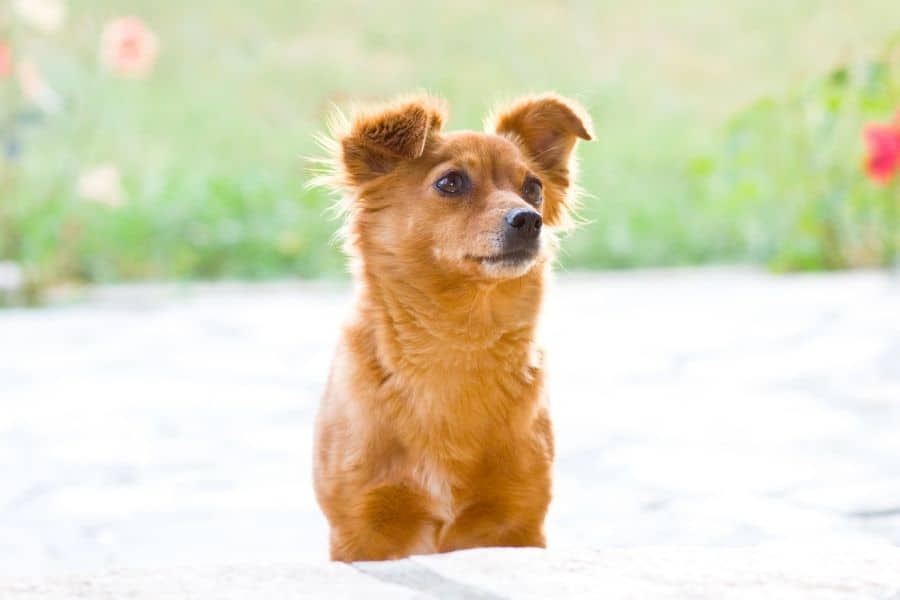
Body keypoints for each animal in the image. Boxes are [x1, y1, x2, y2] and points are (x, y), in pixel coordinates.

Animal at [312, 91, 596, 560]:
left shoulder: (518, 522)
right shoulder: (360, 528)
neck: (459, 337)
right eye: (451, 183)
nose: (528, 219)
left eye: (533, 188)